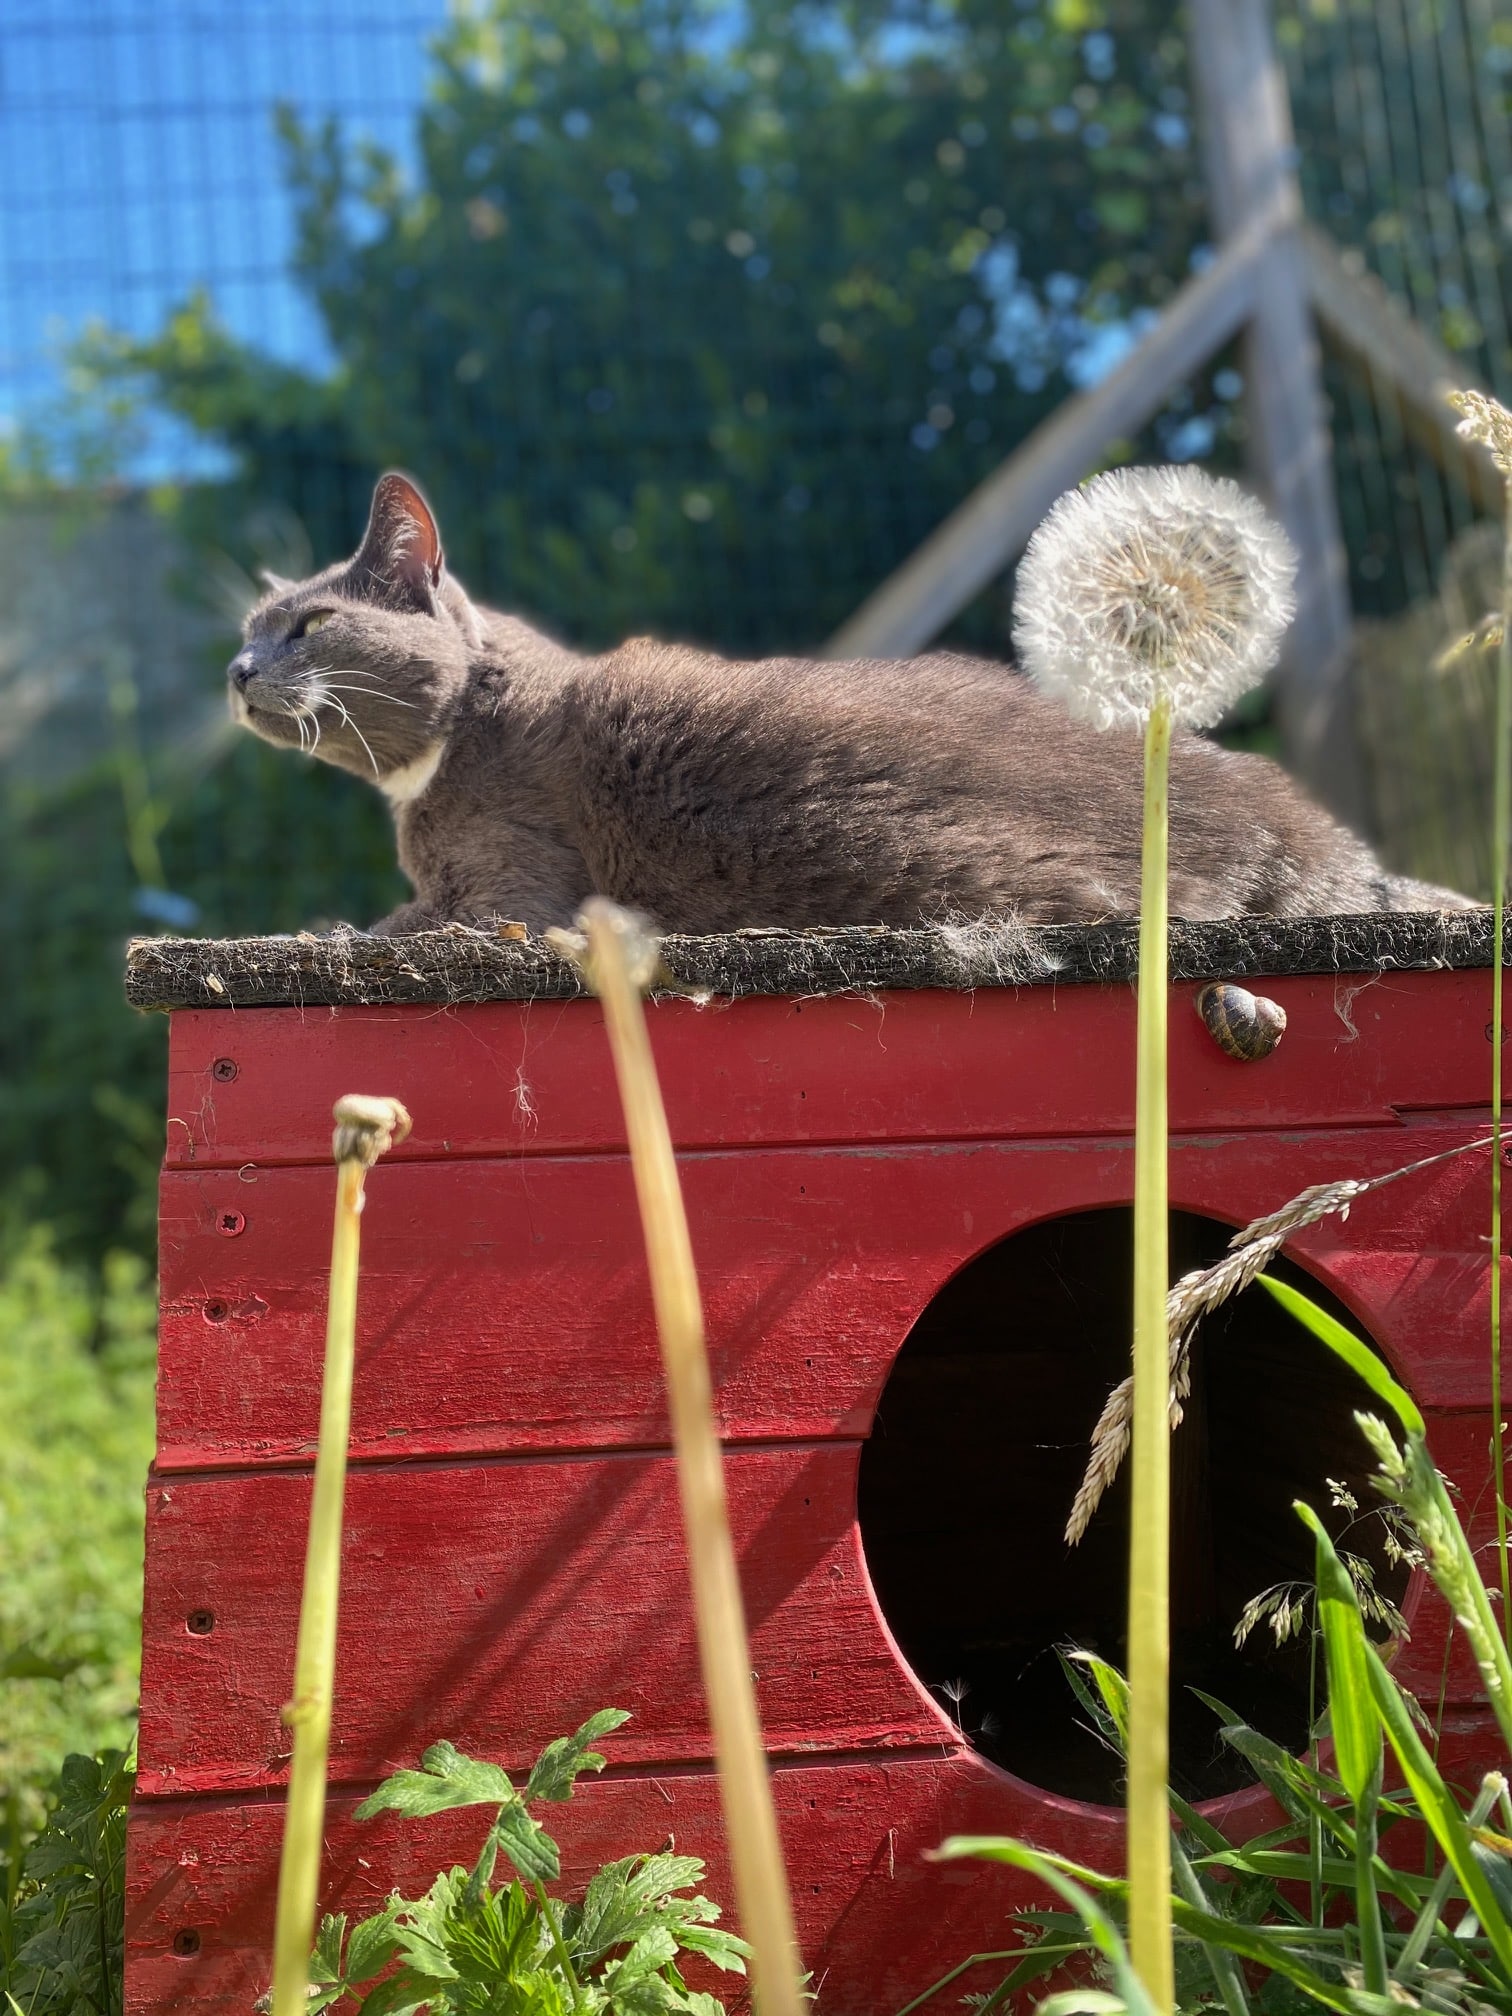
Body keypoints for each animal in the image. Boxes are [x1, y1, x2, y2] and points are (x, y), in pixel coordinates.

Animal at [230, 467, 1475, 931]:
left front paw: (332, 926)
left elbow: (417, 918)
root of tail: (1319, 845)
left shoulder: (509, 890)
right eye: (248, 630)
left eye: (311, 625)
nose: (239, 671)